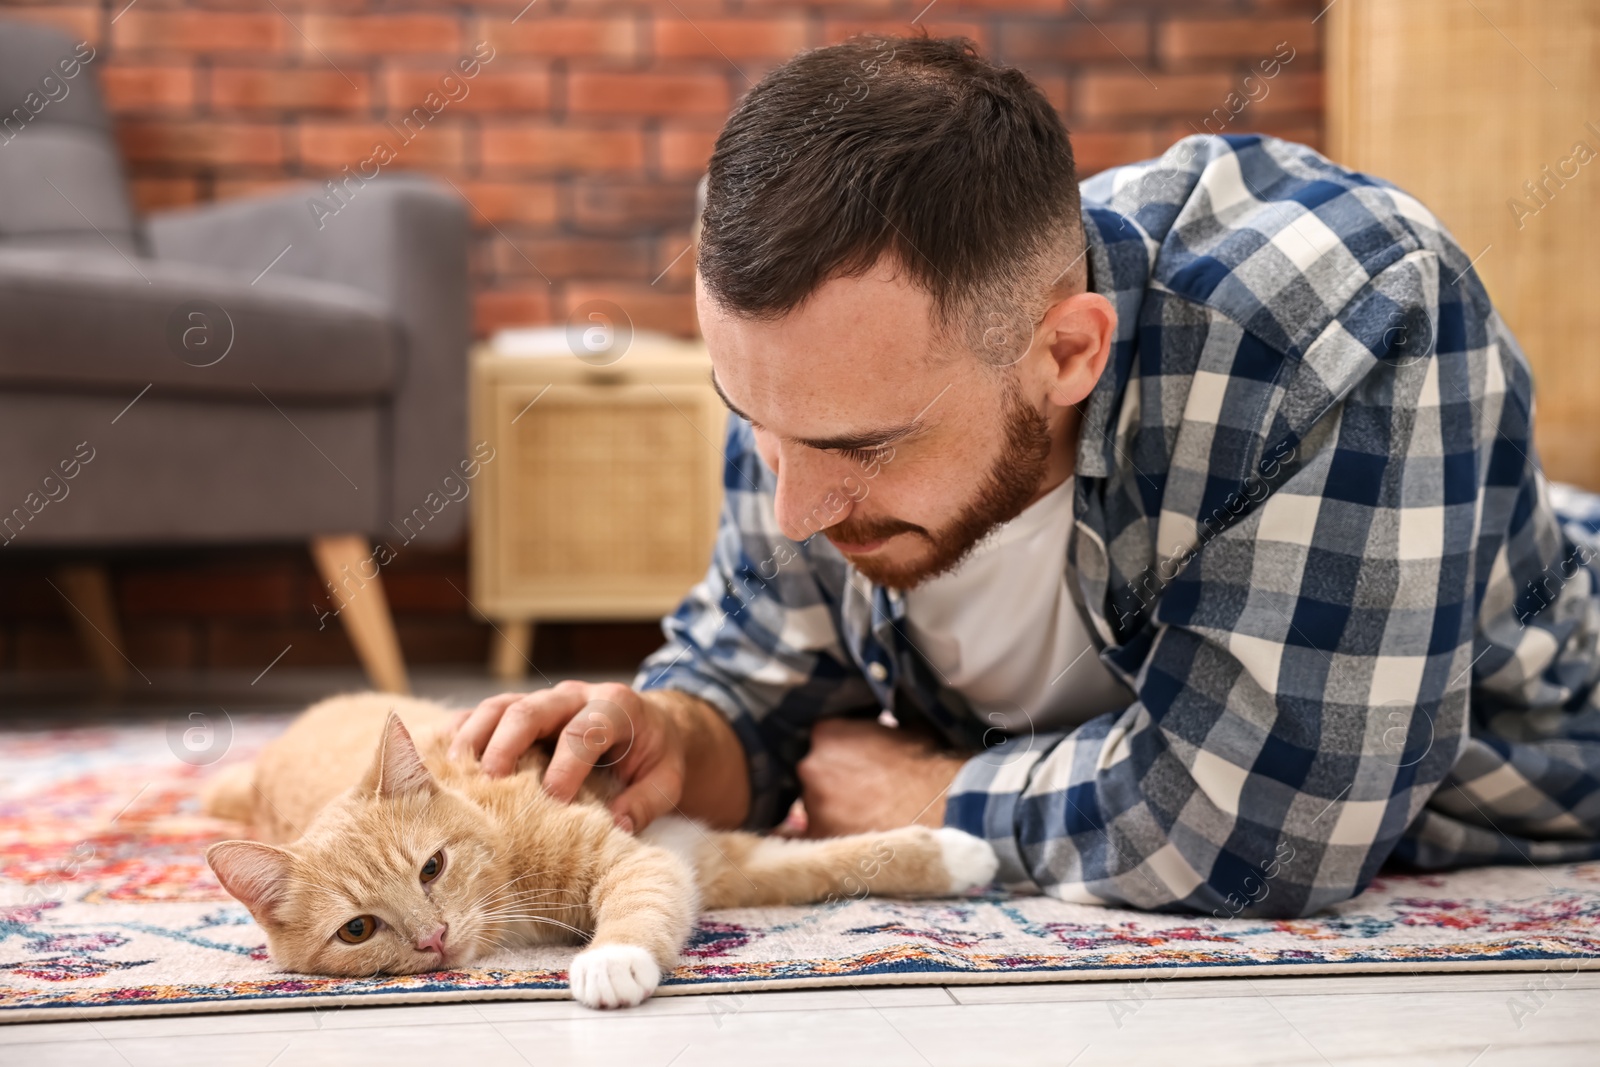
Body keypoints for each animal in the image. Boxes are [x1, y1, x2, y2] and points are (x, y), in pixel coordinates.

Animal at [203, 694, 998, 1011]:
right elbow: (808, 865)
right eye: (358, 930)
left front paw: (962, 852)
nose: (433, 938)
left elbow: (838, 857)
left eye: (432, 867)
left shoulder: (656, 851)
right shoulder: (688, 859)